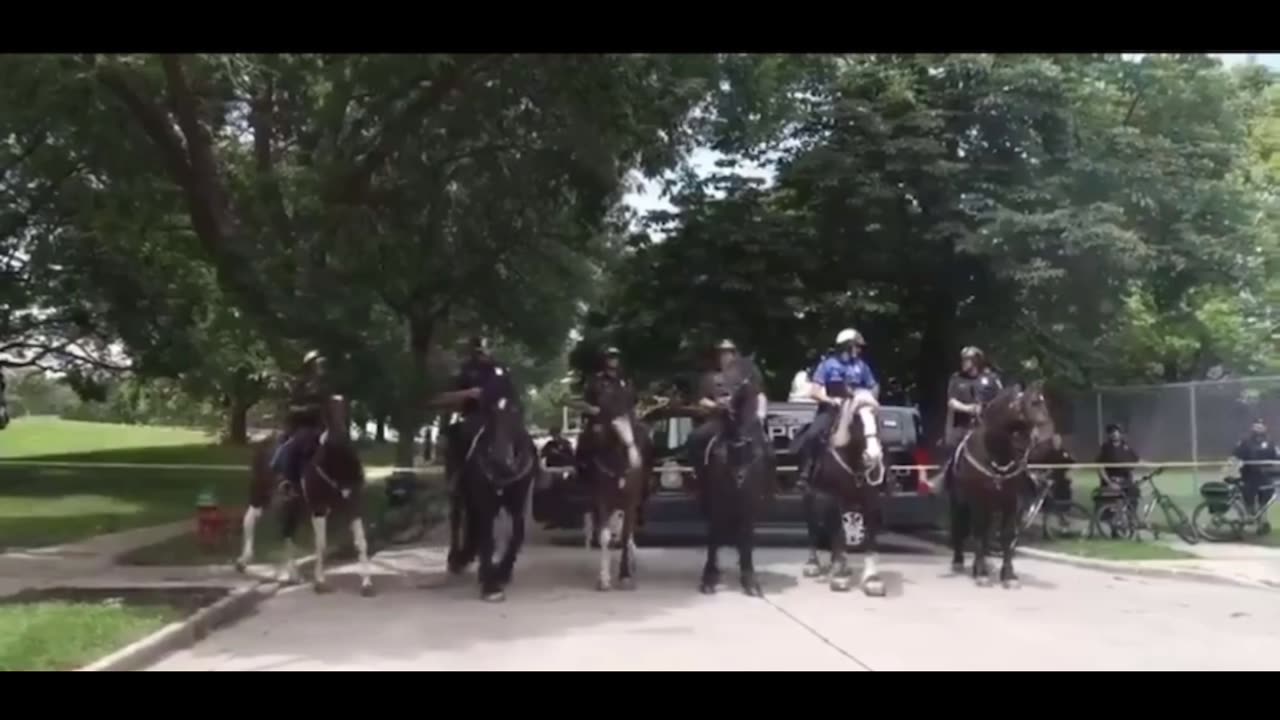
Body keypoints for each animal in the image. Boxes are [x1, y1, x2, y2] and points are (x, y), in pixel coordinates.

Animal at [235, 394, 373, 591]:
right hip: (260, 491)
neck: (336, 464)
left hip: (294, 504)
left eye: (346, 408)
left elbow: (361, 542)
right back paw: (243, 561)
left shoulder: (353, 504)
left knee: (287, 532)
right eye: (327, 411)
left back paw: (293, 575)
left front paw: (367, 583)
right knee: (250, 519)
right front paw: (320, 581)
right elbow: (321, 545)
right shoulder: (319, 508)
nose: (338, 436)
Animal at [448, 392, 537, 599]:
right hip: (459, 491)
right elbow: (488, 538)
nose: (499, 461)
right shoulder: (485, 503)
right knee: (457, 519)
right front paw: (491, 586)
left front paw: (502, 572)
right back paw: (456, 558)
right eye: (490, 417)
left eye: (516, 415)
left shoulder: (518, 505)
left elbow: (517, 535)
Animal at [691, 353, 768, 594]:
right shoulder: (717, 498)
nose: (719, 389)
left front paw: (750, 579)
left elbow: (746, 537)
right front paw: (709, 577)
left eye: (744, 376)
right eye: (722, 374)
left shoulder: (751, 501)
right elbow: (714, 535)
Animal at [803, 389, 885, 591]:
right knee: (813, 525)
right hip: (811, 494)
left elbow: (870, 535)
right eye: (856, 418)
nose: (872, 455)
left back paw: (838, 564)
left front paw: (872, 579)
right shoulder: (835, 497)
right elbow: (839, 532)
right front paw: (840, 577)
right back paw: (813, 564)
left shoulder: (871, 500)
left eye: (877, 416)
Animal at [947, 379, 1054, 586]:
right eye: (1033, 403)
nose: (1049, 438)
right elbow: (979, 532)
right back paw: (959, 561)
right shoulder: (979, 500)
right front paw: (981, 572)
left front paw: (1008, 574)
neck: (996, 452)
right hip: (960, 501)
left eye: (1044, 402)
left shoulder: (1011, 502)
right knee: (960, 526)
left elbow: (1006, 535)